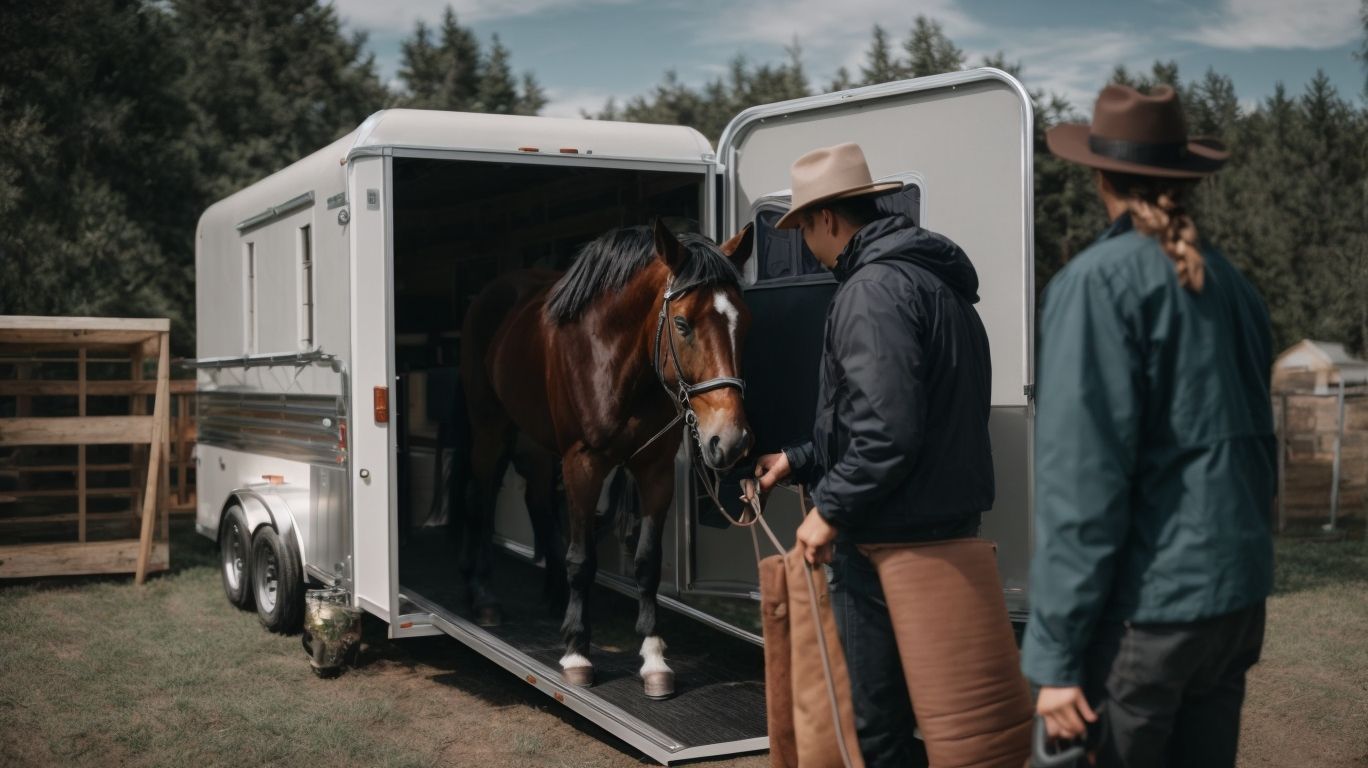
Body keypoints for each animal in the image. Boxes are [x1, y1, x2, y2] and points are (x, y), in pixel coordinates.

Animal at [459, 219, 755, 698]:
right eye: (682, 324)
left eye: (743, 322)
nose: (731, 441)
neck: (612, 358)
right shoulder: (584, 463)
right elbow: (583, 560)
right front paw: (577, 653)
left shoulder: (654, 470)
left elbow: (647, 563)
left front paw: (654, 659)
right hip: (490, 428)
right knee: (482, 500)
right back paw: (484, 596)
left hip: (539, 442)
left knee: (539, 502)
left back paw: (553, 593)